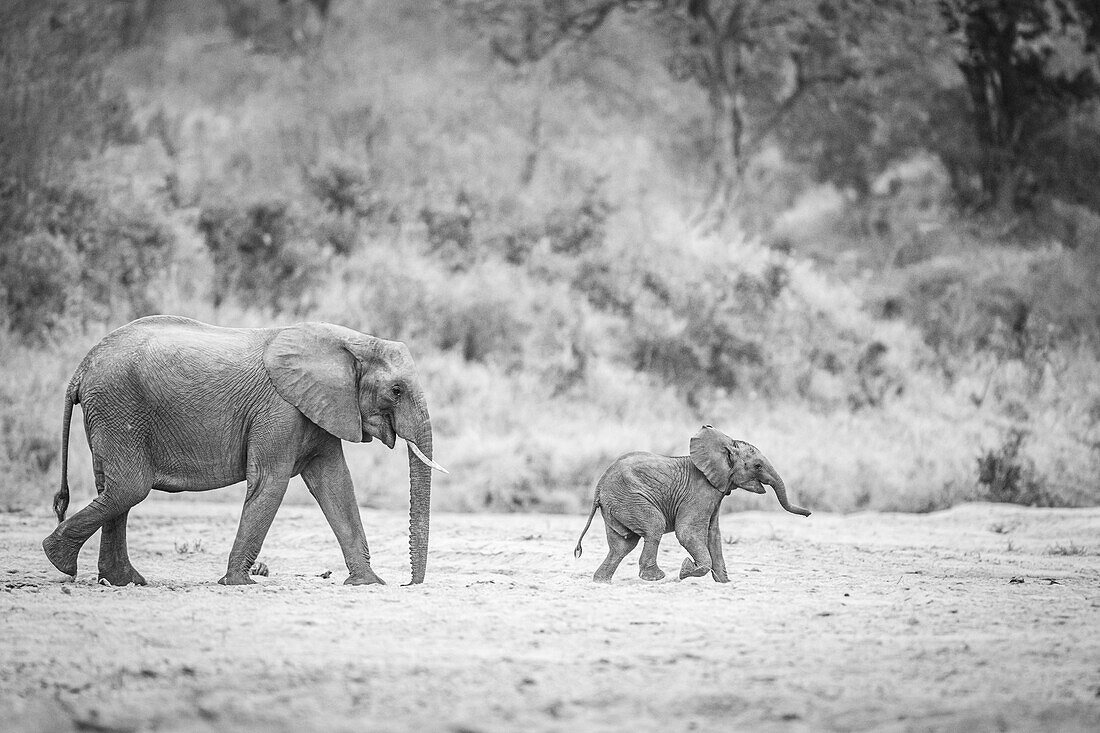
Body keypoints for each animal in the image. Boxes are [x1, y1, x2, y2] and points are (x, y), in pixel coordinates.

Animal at [41, 312, 446, 581]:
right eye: (396, 390)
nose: (409, 584)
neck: (351, 341)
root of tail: (81, 368)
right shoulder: (281, 408)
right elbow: (271, 481)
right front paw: (237, 583)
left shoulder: (319, 407)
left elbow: (335, 484)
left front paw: (367, 583)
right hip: (117, 405)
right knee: (129, 487)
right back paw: (60, 561)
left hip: (112, 411)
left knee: (114, 489)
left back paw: (123, 581)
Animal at [576, 424, 809, 581]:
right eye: (758, 466)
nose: (808, 514)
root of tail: (598, 487)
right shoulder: (701, 491)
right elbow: (687, 531)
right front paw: (687, 569)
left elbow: (713, 533)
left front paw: (724, 582)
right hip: (629, 498)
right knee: (654, 526)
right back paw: (655, 577)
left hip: (616, 504)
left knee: (622, 544)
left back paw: (602, 581)